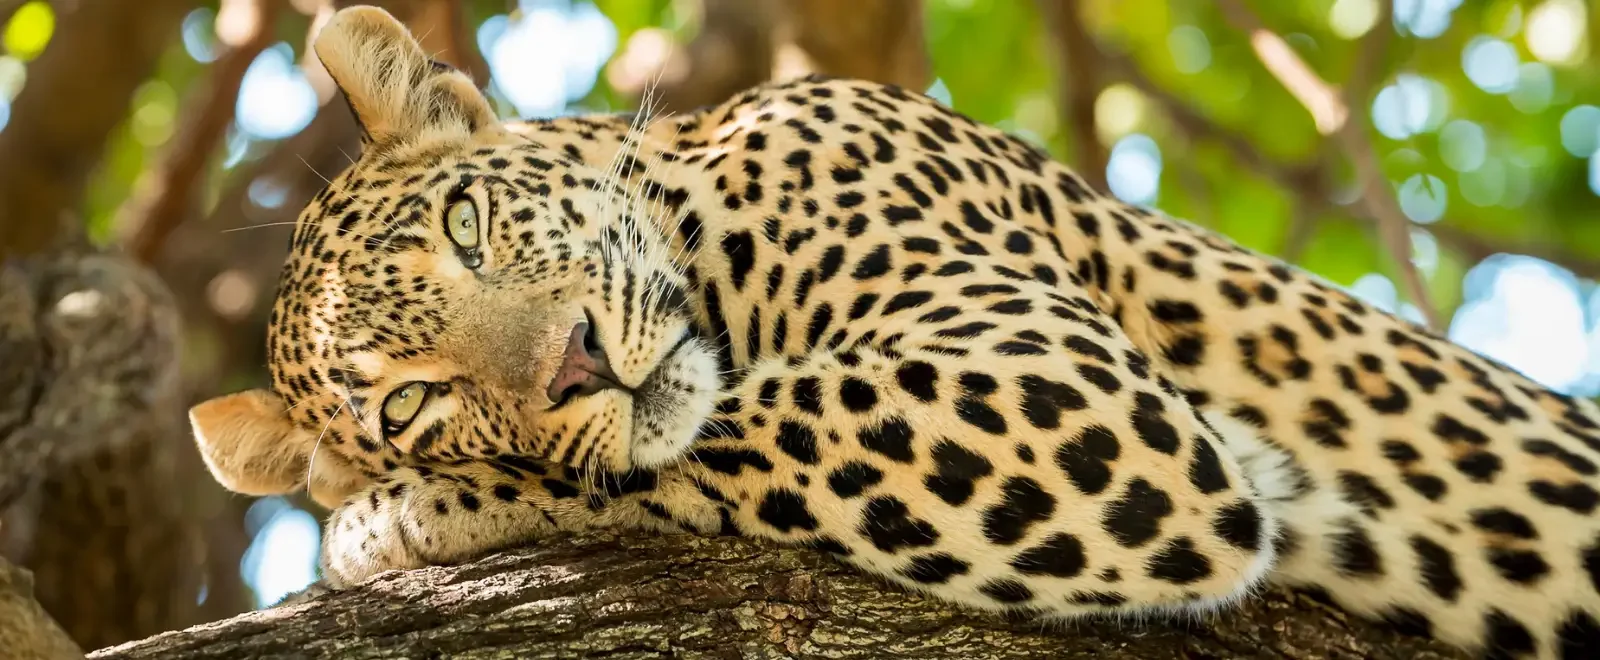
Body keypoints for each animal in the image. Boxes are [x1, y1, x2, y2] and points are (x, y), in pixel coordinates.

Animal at [188, 6, 1600, 659]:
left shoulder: (1065, 392)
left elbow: (729, 431)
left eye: (470, 223)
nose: (578, 360)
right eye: (406, 402)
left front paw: (398, 521)